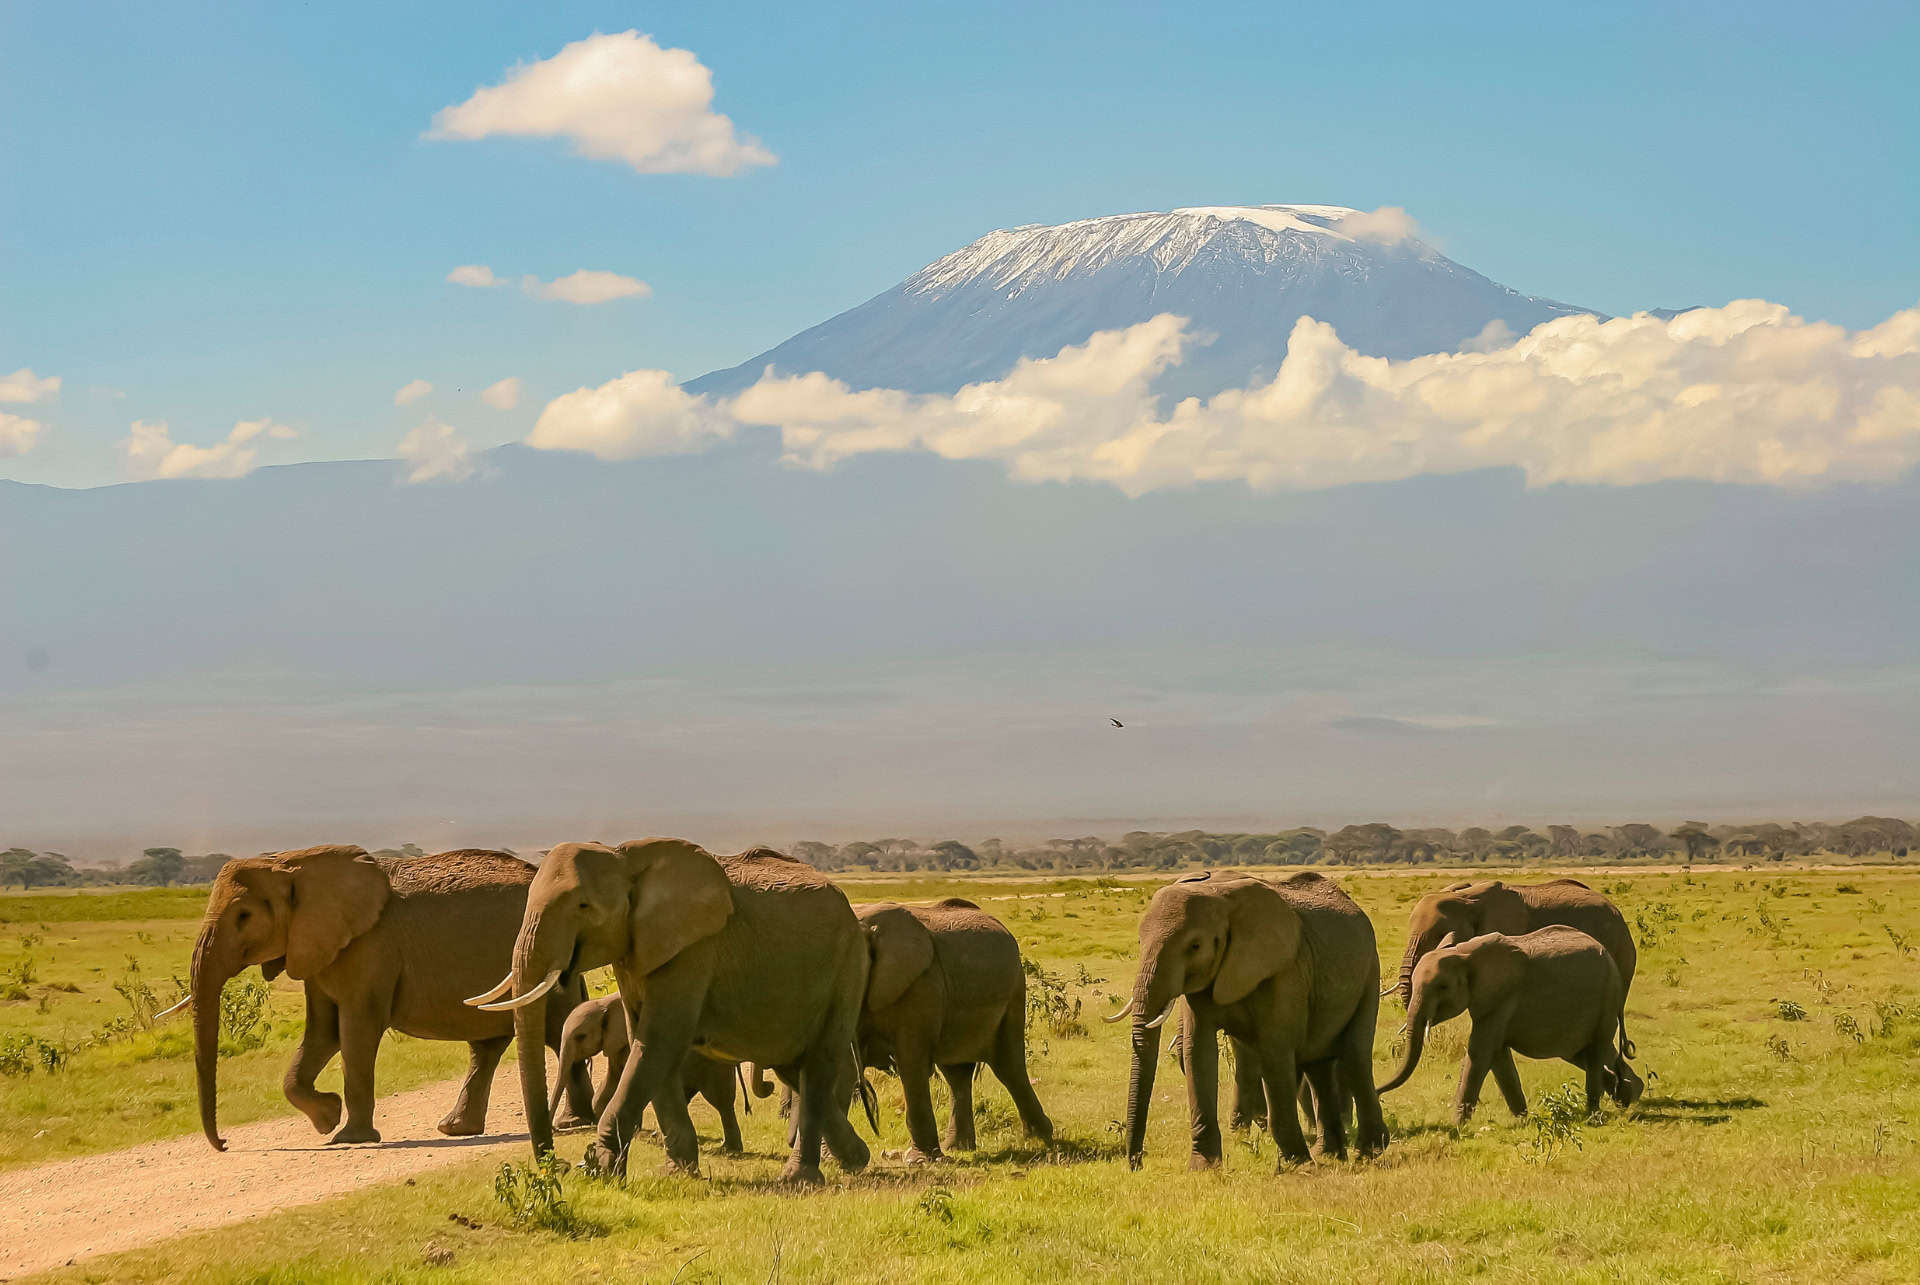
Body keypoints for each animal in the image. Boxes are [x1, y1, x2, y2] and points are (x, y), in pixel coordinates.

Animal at [176, 845, 593, 1151]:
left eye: (243, 916)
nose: (225, 1144)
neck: (291, 863)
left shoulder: (370, 948)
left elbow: (356, 1031)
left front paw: (348, 1137)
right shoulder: (321, 947)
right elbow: (323, 1033)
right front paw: (327, 1118)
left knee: (558, 1029)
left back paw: (572, 1122)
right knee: (489, 1045)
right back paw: (457, 1128)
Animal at [548, 992, 747, 1154]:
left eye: (581, 1036)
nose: (554, 1130)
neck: (604, 1003)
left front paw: (631, 1130)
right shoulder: (615, 1043)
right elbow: (613, 1080)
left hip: (712, 1064)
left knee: (720, 1100)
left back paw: (729, 1150)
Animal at [853, 898, 1052, 1162]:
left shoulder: (923, 985)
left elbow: (911, 1063)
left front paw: (918, 1161)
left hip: (1014, 991)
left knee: (1008, 1066)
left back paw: (1039, 1138)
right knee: (957, 1073)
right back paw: (959, 1148)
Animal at [1114, 870, 1388, 1171]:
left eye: (1195, 946)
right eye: (1140, 942)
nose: (1137, 1163)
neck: (1219, 896)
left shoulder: (1284, 972)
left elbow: (1275, 1051)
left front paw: (1295, 1165)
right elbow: (1198, 1051)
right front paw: (1204, 1167)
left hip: (1369, 973)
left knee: (1354, 1056)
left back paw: (1369, 1153)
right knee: (1318, 1064)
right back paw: (1328, 1154)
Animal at [1378, 925, 1643, 1120]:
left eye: (1443, 987)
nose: (1379, 1092)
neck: (1465, 953)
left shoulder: (1503, 996)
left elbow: (1481, 1052)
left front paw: (1456, 1126)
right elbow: (1497, 1057)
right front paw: (1522, 1119)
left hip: (1607, 998)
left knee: (1596, 1050)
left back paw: (1595, 1113)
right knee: (1580, 1053)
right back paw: (1626, 1095)